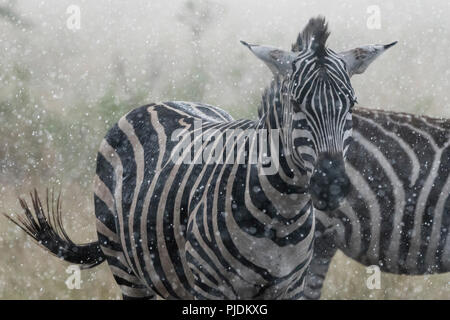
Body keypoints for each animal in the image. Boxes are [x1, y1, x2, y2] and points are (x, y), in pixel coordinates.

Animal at [5, 16, 396, 298]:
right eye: (296, 104)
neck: (282, 215)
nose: (332, 185)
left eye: (351, 104)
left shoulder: (290, 287)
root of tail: (163, 101)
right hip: (125, 268)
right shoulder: (211, 287)